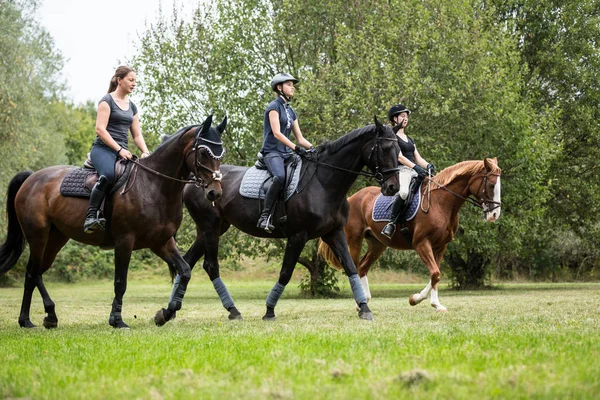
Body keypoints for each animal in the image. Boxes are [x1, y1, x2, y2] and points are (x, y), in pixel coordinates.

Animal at [0, 115, 226, 328]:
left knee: (34, 273)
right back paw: (37, 317)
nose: (214, 192)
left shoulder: (161, 242)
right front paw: (117, 320)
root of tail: (31, 178)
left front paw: (164, 314)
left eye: (221, 154)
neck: (153, 185)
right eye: (204, 152)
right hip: (38, 236)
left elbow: (185, 271)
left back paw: (37, 318)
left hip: (56, 239)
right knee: (33, 273)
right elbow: (120, 282)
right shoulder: (125, 241)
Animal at [162, 116, 400, 322]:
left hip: (213, 229)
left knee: (188, 261)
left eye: (398, 150)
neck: (323, 183)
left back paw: (171, 310)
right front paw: (269, 310)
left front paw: (365, 308)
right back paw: (231, 310)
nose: (393, 187)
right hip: (210, 228)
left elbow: (350, 267)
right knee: (210, 266)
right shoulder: (298, 236)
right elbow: (286, 273)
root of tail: (194, 181)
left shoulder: (334, 233)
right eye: (384, 149)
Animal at [318, 158, 502, 310]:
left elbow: (435, 275)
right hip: (354, 241)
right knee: (354, 267)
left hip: (378, 244)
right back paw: (360, 303)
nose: (494, 215)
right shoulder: (421, 243)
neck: (441, 203)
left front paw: (434, 303)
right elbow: (435, 273)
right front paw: (416, 299)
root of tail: (352, 197)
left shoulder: (441, 246)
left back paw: (366, 299)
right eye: (491, 185)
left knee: (363, 266)